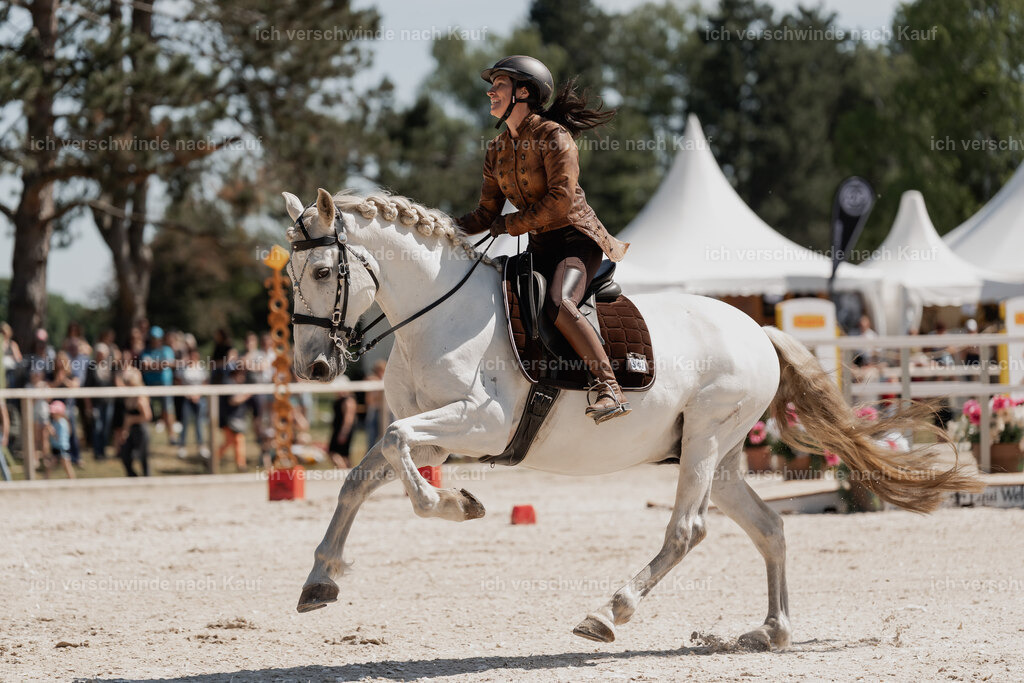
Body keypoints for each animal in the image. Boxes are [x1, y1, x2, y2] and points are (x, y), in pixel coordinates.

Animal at [284, 188, 980, 648]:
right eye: (288, 274)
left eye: (320, 270)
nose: (313, 366)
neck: (438, 314)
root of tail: (757, 329)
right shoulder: (437, 435)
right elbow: (363, 475)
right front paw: (320, 579)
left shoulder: (479, 423)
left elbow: (399, 450)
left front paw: (456, 504)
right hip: (722, 457)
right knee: (770, 526)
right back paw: (771, 630)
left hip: (704, 442)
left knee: (687, 531)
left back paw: (609, 612)